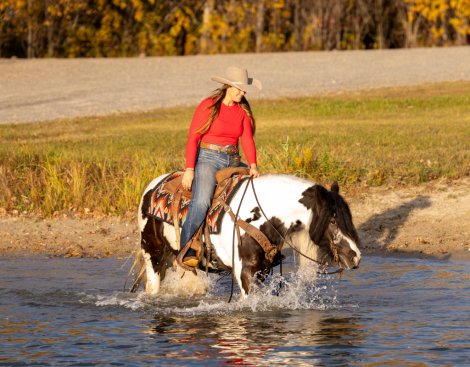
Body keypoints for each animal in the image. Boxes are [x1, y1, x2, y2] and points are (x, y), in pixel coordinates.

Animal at [129, 173, 364, 302]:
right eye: (333, 221)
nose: (356, 257)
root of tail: (152, 187)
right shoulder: (246, 274)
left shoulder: (261, 272)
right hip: (152, 253)